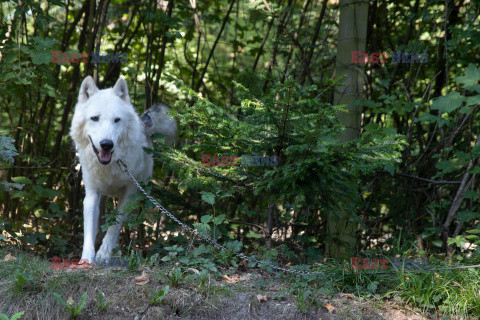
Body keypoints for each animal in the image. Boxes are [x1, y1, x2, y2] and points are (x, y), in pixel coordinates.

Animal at [70, 76, 177, 264]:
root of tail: (143, 122)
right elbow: (89, 229)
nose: (106, 144)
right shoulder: (91, 193)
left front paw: (104, 253)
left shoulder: (130, 192)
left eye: (117, 120)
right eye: (95, 118)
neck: (110, 165)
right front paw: (87, 259)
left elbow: (115, 224)